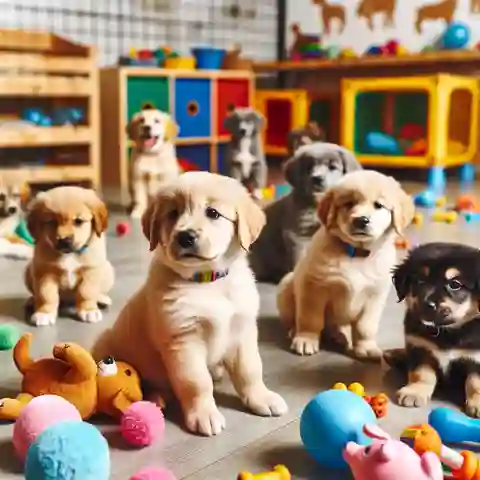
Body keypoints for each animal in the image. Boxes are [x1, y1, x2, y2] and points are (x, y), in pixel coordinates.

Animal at [24, 186, 114, 328]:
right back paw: (32, 300)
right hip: (29, 269)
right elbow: (46, 295)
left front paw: (89, 310)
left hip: (107, 270)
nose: (64, 240)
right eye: (51, 222)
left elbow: (86, 292)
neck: (70, 254)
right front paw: (44, 313)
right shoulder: (45, 273)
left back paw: (102, 299)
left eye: (78, 221)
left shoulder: (90, 271)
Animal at [93, 172, 288, 436]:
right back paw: (155, 397)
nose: (185, 236)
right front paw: (204, 414)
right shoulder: (183, 339)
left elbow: (250, 370)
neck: (208, 282)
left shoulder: (243, 330)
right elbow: (196, 381)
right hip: (105, 342)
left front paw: (262, 398)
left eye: (213, 213)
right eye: (173, 213)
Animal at [276, 169, 414, 360]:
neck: (357, 254)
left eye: (379, 205)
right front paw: (306, 339)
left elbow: (365, 326)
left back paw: (340, 336)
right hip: (286, 286)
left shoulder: (375, 295)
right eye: (349, 204)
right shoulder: (314, 287)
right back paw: (295, 331)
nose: (361, 220)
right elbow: (310, 318)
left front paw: (366, 347)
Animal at [390, 244, 480, 416]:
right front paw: (414, 392)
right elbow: (421, 373)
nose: (427, 304)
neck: (447, 332)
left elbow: (475, 382)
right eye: (419, 280)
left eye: (455, 284)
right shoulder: (419, 347)